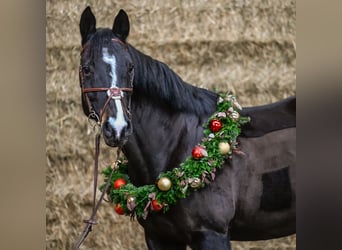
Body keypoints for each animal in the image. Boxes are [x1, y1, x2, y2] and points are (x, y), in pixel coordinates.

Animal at [79, 6, 296, 249]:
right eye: (86, 69)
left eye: (130, 67)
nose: (118, 128)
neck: (179, 144)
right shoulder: (160, 237)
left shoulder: (212, 234)